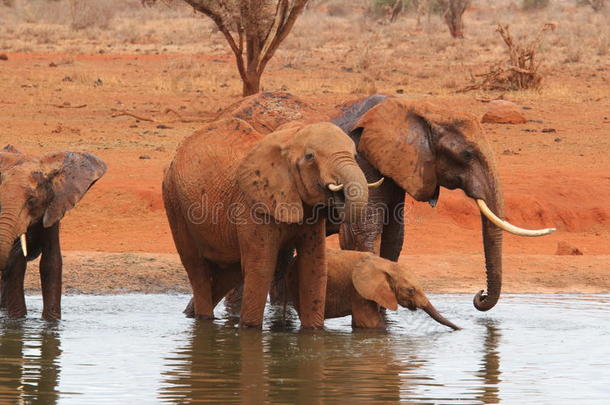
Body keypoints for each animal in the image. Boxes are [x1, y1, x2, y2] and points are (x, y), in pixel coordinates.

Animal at [0, 145, 107, 318]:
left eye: (31, 200)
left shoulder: (55, 205)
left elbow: (51, 263)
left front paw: (51, 321)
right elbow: (17, 263)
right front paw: (18, 320)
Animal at [164, 118, 378, 326]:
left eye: (355, 155)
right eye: (310, 156)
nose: (337, 192)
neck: (291, 138)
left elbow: (314, 267)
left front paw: (314, 332)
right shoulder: (253, 204)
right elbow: (261, 268)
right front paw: (250, 329)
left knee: (230, 272)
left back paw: (191, 315)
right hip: (174, 201)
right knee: (196, 266)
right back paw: (203, 320)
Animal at [270, 248, 456, 330]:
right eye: (410, 290)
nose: (460, 329)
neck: (386, 264)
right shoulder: (358, 290)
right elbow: (370, 324)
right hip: (296, 282)